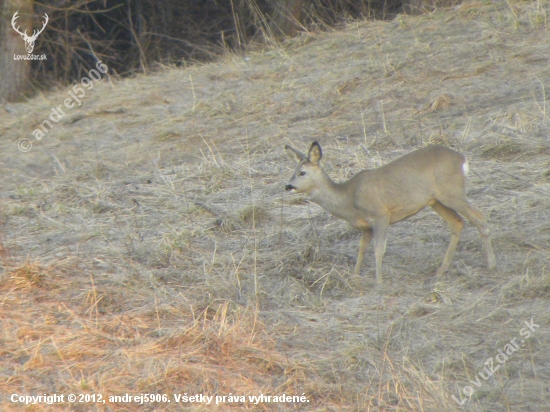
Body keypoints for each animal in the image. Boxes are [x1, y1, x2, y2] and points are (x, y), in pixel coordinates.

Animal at [286, 142, 498, 284]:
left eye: (302, 172)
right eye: (293, 171)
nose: (288, 186)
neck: (348, 198)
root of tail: (463, 160)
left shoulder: (380, 215)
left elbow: (379, 249)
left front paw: (378, 283)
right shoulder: (366, 227)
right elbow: (361, 249)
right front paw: (355, 276)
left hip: (452, 192)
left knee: (480, 217)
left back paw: (490, 264)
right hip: (436, 200)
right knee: (458, 223)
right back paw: (441, 270)